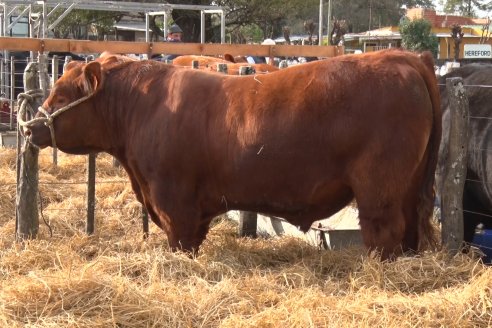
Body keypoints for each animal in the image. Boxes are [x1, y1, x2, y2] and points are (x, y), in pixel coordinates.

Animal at [23, 48, 440, 260]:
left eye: (62, 94)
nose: (30, 127)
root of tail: (399, 56)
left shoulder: (173, 198)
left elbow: (181, 240)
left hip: (378, 188)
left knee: (383, 231)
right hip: (408, 185)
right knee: (410, 230)